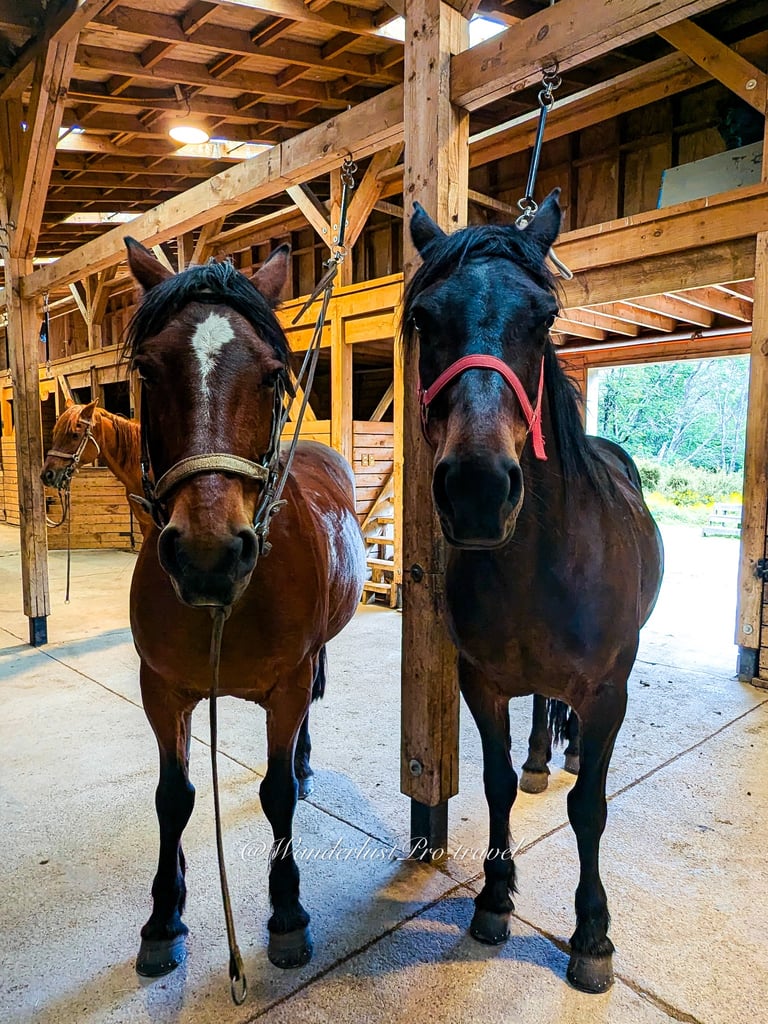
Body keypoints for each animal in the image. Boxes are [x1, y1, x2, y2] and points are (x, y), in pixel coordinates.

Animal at [122, 239, 366, 982]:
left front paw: (287, 915)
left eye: (272, 375)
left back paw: (308, 764)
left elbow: (277, 792)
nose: (208, 554)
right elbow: (173, 798)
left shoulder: (285, 685)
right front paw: (163, 918)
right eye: (147, 370)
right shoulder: (161, 690)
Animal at [403, 190, 663, 993]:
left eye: (544, 316)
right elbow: (494, 786)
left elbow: (592, 810)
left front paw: (593, 936)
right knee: (545, 707)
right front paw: (493, 898)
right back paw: (544, 756)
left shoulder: (609, 692)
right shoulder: (480, 683)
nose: (479, 490)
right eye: (424, 317)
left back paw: (569, 753)